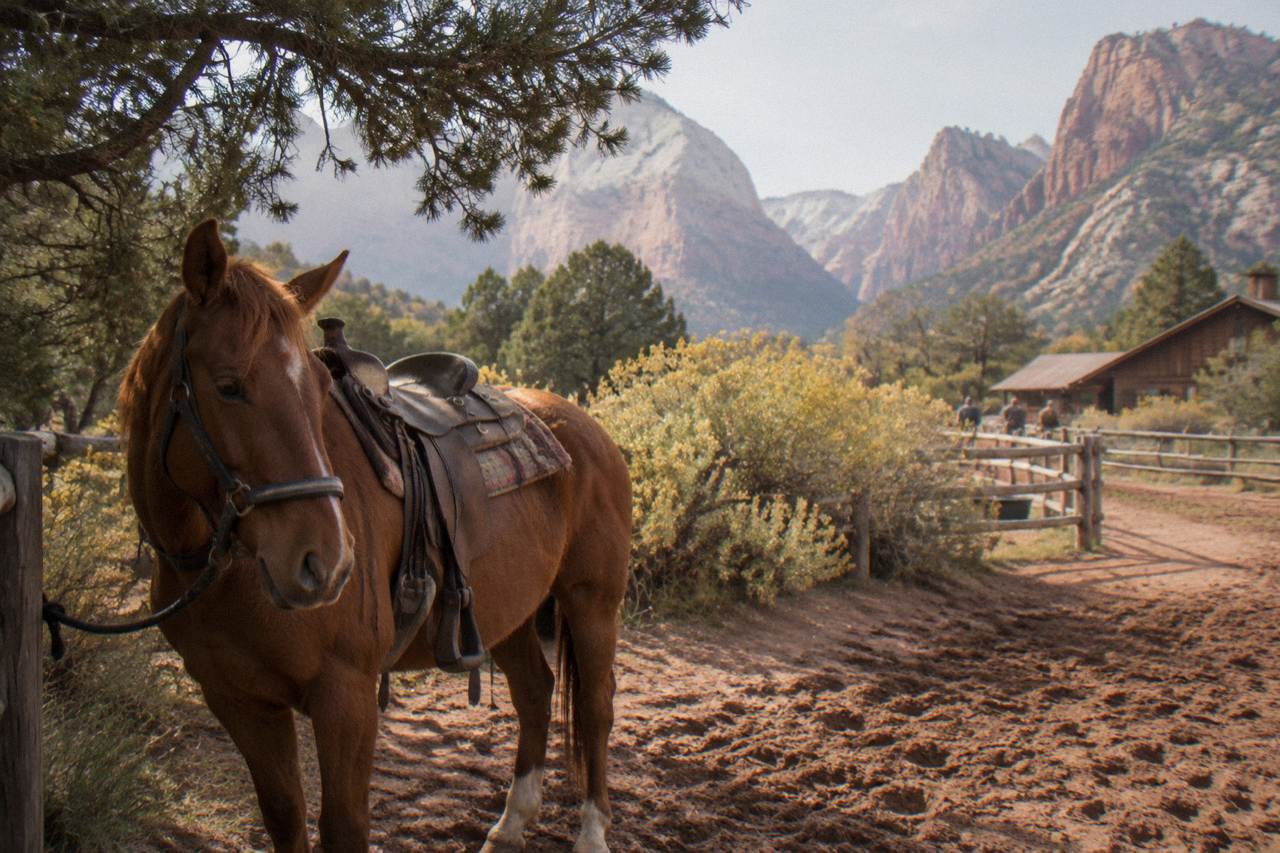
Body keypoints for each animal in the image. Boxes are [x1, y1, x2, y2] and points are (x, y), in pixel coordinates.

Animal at [117, 220, 633, 852]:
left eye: (318, 391)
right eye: (229, 385)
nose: (326, 564)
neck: (223, 571)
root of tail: (586, 428)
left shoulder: (347, 694)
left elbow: (344, 826)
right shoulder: (238, 700)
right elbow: (284, 815)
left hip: (592, 602)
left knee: (597, 708)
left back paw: (591, 832)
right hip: (507, 610)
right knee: (535, 692)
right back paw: (510, 824)